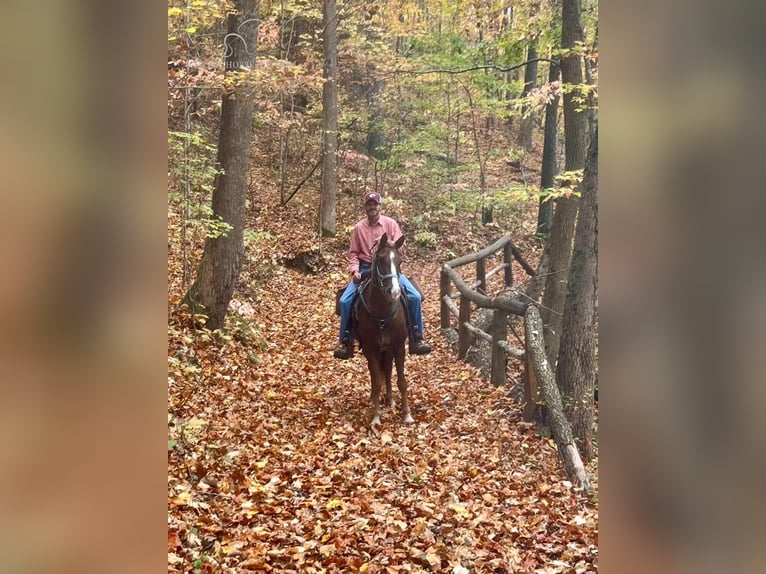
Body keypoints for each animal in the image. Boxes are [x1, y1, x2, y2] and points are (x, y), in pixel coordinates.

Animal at [354, 234, 414, 428]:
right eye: (380, 260)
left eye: (399, 261)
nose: (394, 292)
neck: (382, 311)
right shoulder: (370, 347)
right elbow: (376, 382)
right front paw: (376, 417)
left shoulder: (399, 345)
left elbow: (401, 381)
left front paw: (407, 415)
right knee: (377, 374)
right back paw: (375, 399)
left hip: (388, 349)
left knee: (387, 370)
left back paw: (390, 399)